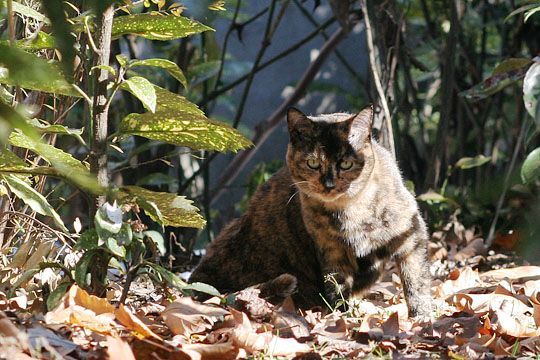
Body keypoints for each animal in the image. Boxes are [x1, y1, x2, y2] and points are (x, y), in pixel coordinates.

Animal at [188, 105, 432, 316]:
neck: (351, 210)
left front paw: (421, 315)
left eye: (346, 164)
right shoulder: (331, 250)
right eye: (313, 163)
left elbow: (416, 279)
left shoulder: (411, 234)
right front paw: (342, 316)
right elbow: (337, 285)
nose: (329, 184)